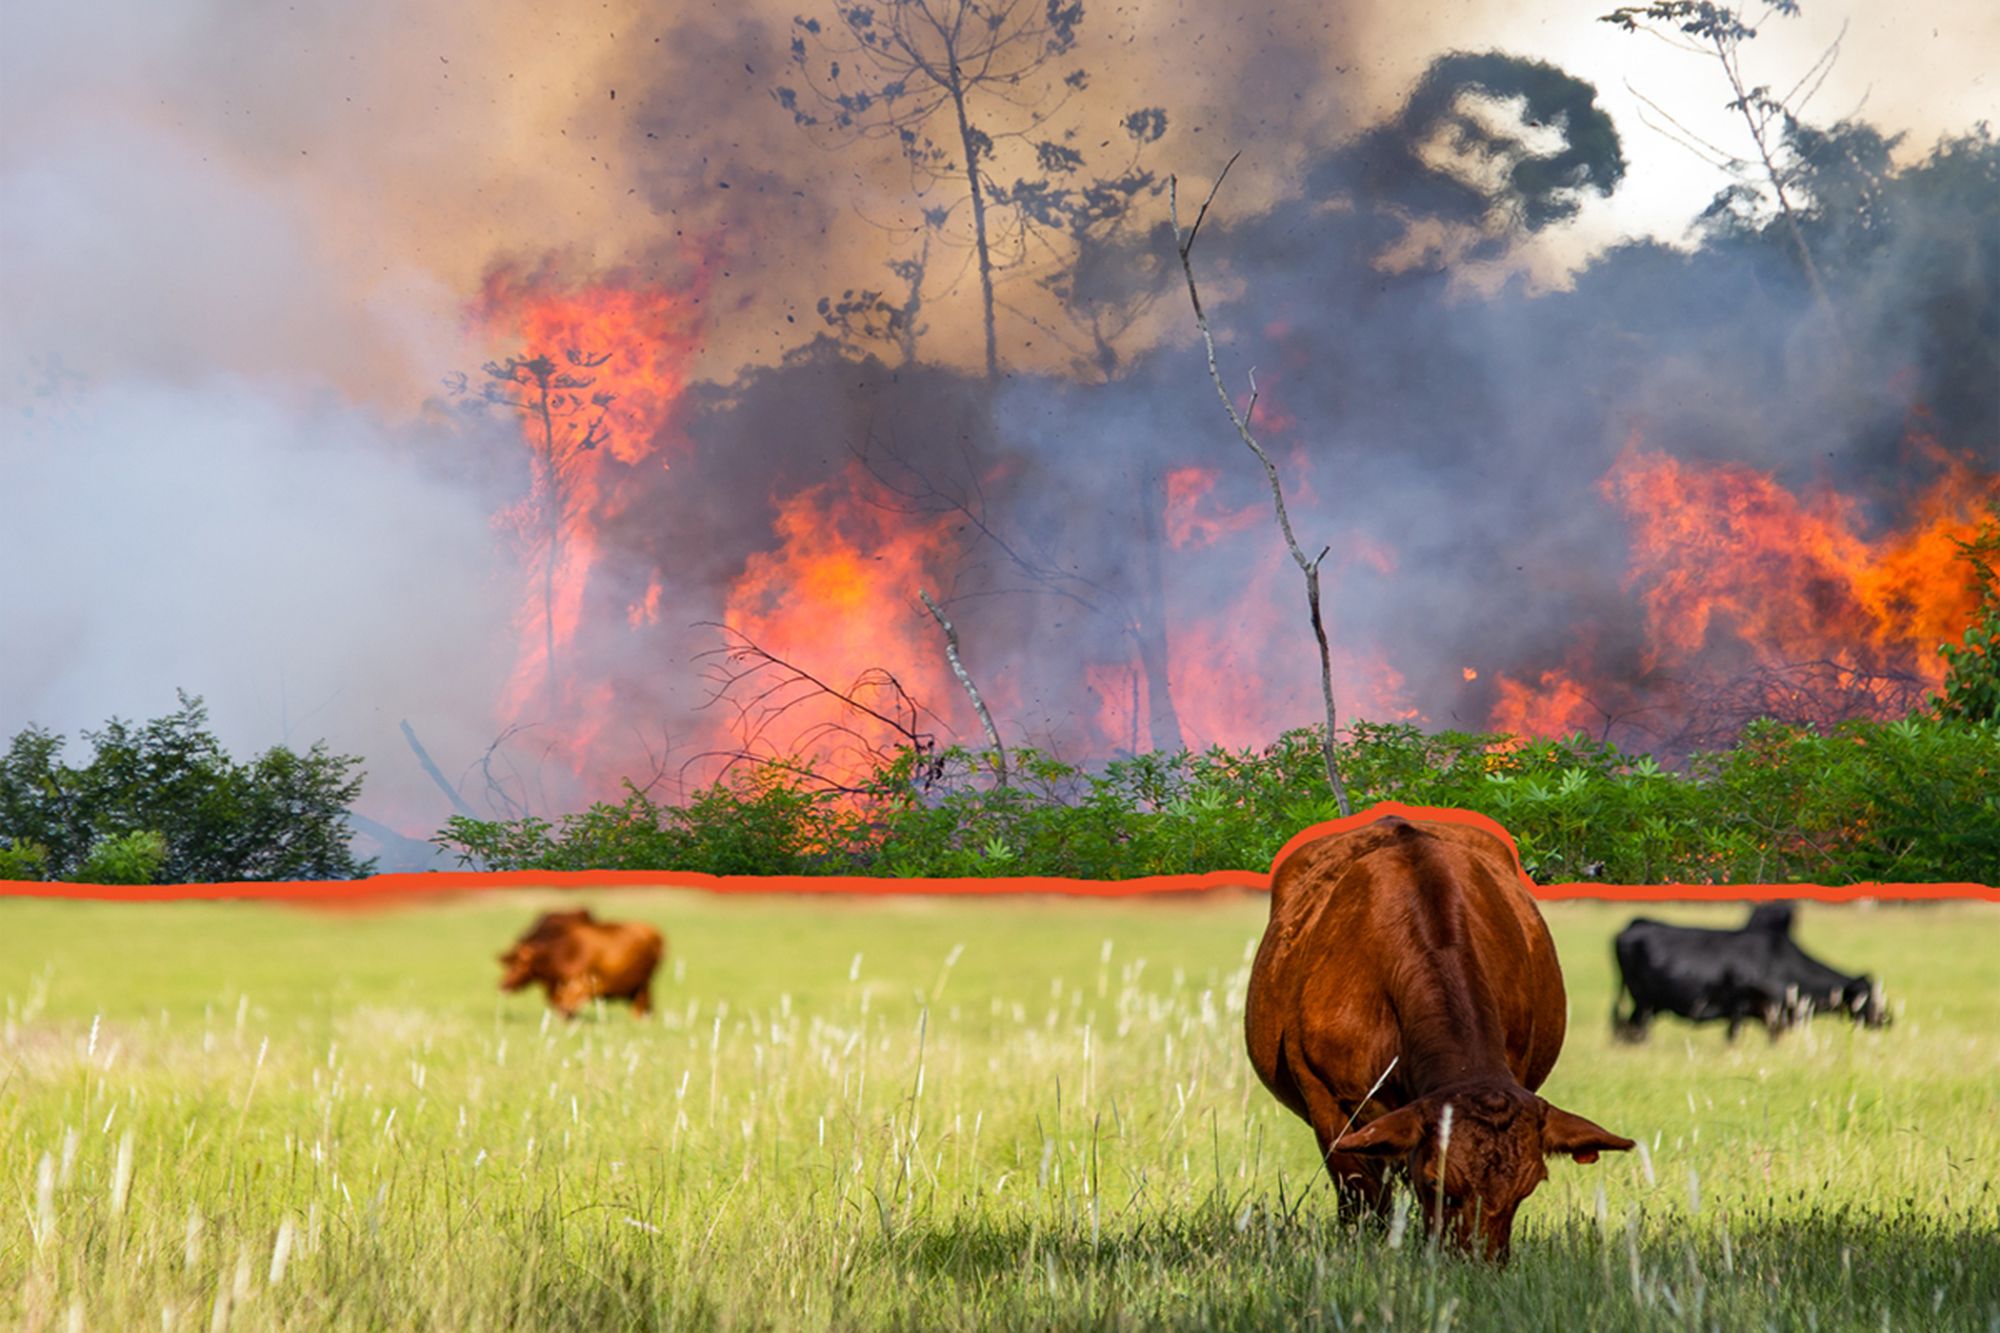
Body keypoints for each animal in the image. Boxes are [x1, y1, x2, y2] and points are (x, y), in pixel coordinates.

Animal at [1608, 904, 1888, 1040]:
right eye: (1869, 998)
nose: (1887, 1019)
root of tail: (1637, 923)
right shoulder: (1741, 1007)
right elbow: (1733, 1038)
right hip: (1644, 1002)